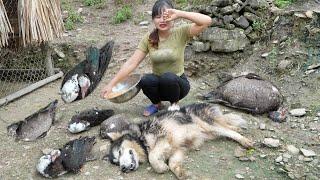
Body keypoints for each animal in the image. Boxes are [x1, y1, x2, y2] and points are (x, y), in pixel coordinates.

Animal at [106, 102, 254, 179]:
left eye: (119, 152)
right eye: (116, 162)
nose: (123, 168)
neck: (142, 139)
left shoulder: (163, 137)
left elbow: (153, 157)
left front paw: (161, 167)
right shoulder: (178, 150)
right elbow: (173, 164)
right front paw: (181, 173)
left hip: (207, 124)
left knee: (229, 131)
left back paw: (245, 141)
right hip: (211, 132)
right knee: (228, 127)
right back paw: (238, 129)